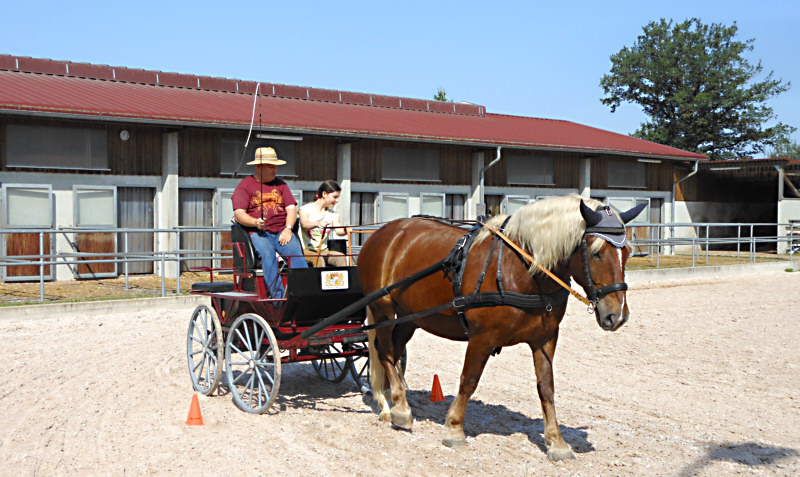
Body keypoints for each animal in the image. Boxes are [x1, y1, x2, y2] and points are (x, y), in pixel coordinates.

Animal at [356, 195, 644, 460]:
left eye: (626, 253)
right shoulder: (482, 338)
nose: (617, 315)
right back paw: (399, 408)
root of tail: (382, 233)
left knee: (393, 350)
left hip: (409, 317)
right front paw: (454, 428)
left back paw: (393, 400)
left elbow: (546, 388)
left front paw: (557, 441)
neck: (522, 270)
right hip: (383, 308)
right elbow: (469, 380)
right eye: (596, 252)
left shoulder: (545, 338)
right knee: (385, 351)